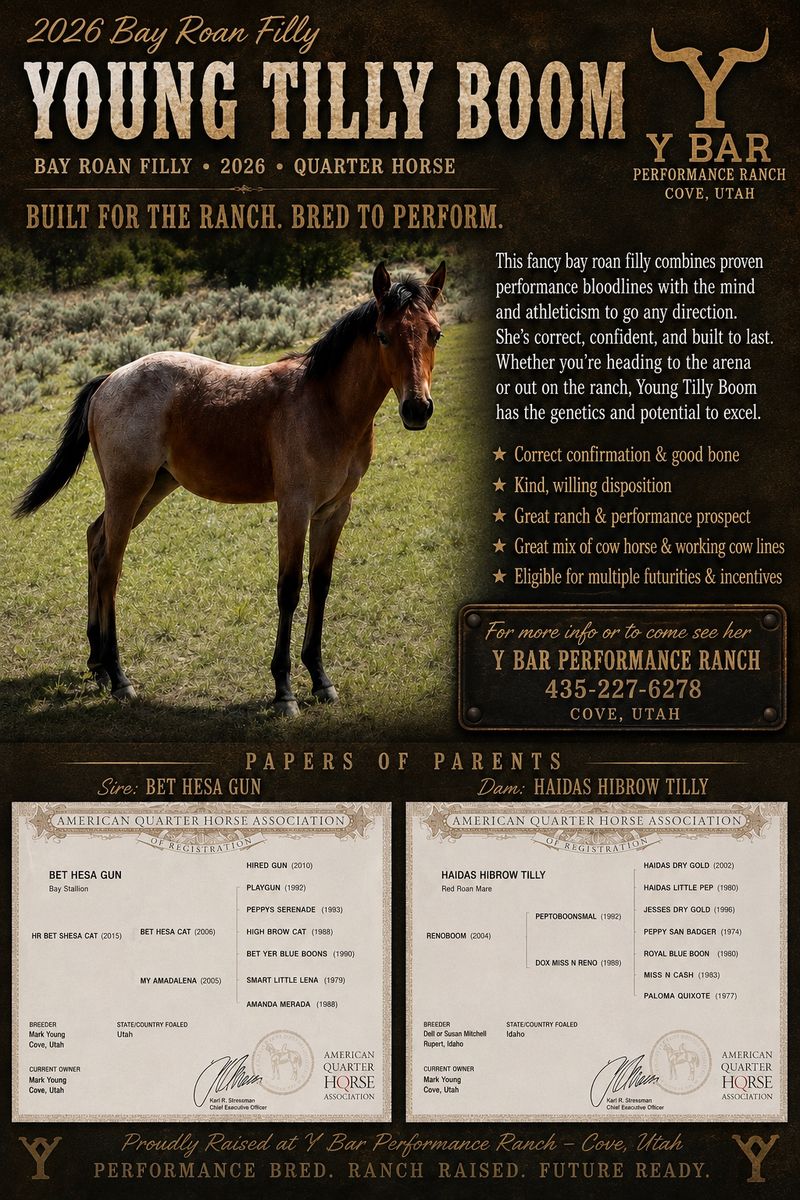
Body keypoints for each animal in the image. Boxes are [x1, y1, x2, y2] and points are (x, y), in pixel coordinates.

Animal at [14, 261, 446, 715]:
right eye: (383, 335)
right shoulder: (294, 508)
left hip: (152, 489)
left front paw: (320, 678)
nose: (417, 409)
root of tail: (110, 379)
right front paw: (284, 690)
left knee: (96, 543)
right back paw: (118, 677)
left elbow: (321, 585)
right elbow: (289, 589)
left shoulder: (334, 510)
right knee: (111, 566)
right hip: (127, 490)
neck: (326, 405)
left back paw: (97, 664)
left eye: (434, 333)